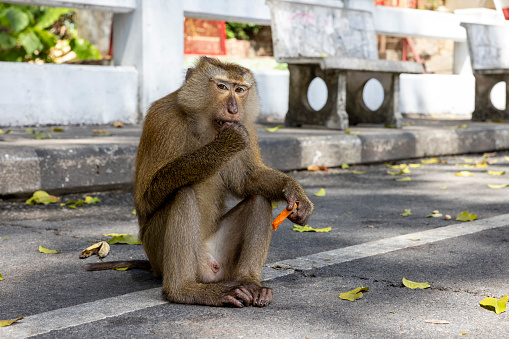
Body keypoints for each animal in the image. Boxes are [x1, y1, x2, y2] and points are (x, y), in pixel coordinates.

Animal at [86, 56, 312, 308]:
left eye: (240, 89)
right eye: (222, 86)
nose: (233, 109)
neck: (203, 125)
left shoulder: (247, 126)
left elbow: (247, 180)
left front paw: (294, 192)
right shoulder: (162, 119)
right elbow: (146, 197)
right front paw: (226, 143)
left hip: (223, 262)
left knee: (259, 198)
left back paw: (249, 281)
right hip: (157, 251)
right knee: (183, 193)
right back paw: (183, 290)